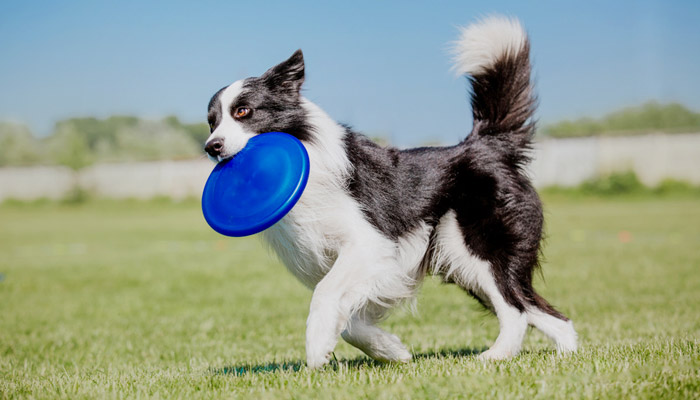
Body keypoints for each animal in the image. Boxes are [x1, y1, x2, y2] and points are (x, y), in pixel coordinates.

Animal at [205, 15, 576, 368]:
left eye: (243, 111)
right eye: (211, 121)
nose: (211, 147)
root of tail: (485, 145)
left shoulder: (369, 243)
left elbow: (325, 294)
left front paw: (316, 349)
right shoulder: (355, 262)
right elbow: (350, 321)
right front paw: (390, 350)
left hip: (472, 248)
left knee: (516, 310)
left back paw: (494, 357)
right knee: (545, 313)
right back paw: (566, 357)